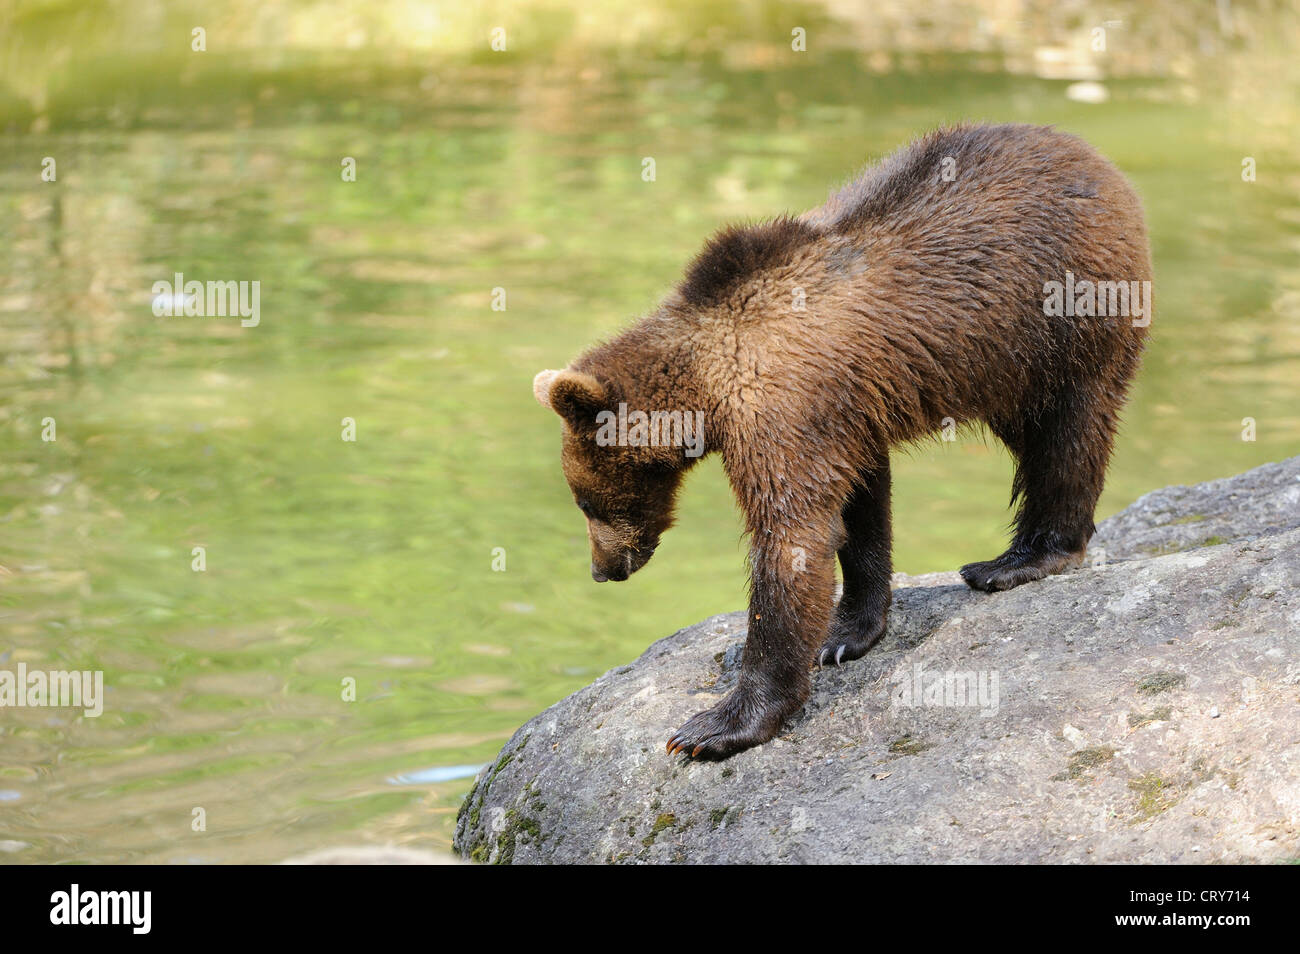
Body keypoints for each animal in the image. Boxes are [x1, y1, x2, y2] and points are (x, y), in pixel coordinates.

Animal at [532, 123, 1151, 760]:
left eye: (585, 501)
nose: (602, 569)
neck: (708, 384)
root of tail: (1091, 157)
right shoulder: (846, 414)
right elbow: (859, 508)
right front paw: (846, 631)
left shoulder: (782, 409)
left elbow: (791, 536)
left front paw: (716, 725)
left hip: (1060, 320)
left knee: (1067, 435)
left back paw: (1018, 559)